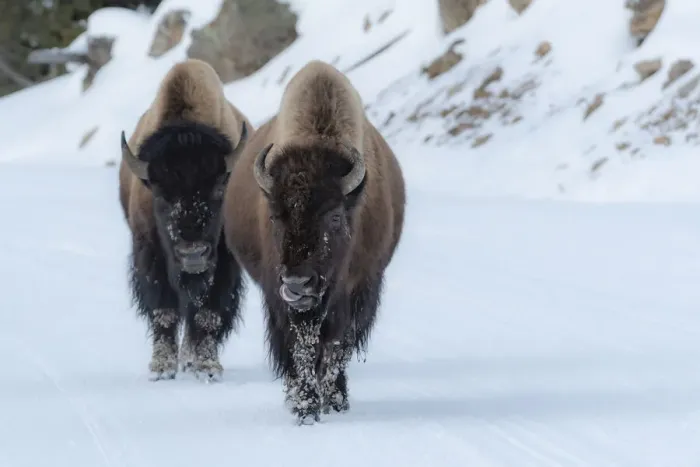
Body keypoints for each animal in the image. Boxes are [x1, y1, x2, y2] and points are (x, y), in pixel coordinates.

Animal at [118, 58, 252, 382]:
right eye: (160, 195)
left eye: (219, 189)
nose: (192, 254)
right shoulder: (149, 253)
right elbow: (163, 310)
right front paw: (161, 367)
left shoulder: (225, 261)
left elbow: (208, 313)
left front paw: (208, 367)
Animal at [223, 60, 406, 423]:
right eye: (275, 215)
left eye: (334, 216)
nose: (298, 283)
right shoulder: (283, 299)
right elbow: (301, 347)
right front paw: (304, 407)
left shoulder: (360, 288)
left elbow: (338, 345)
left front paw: (332, 401)